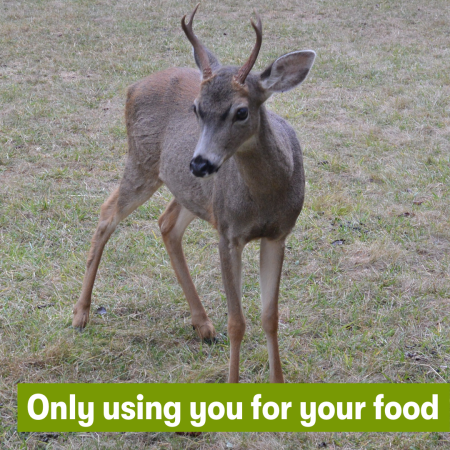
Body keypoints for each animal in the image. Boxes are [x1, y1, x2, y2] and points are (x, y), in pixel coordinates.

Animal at [72, 4, 314, 384]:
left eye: (241, 111)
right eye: (196, 108)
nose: (200, 162)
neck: (265, 199)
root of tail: (132, 86)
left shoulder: (278, 234)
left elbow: (270, 318)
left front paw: (278, 383)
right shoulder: (228, 233)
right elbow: (237, 322)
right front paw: (232, 382)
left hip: (190, 191)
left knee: (166, 223)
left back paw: (203, 325)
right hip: (142, 163)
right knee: (108, 212)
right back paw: (80, 314)